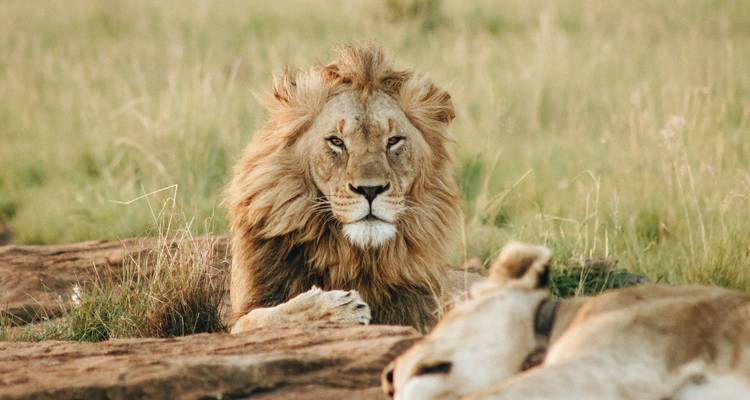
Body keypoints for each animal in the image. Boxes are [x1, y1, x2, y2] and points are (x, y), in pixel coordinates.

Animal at [225, 44, 473, 333]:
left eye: (394, 141)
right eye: (336, 141)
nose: (370, 190)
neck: (353, 256)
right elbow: (261, 317)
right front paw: (337, 308)